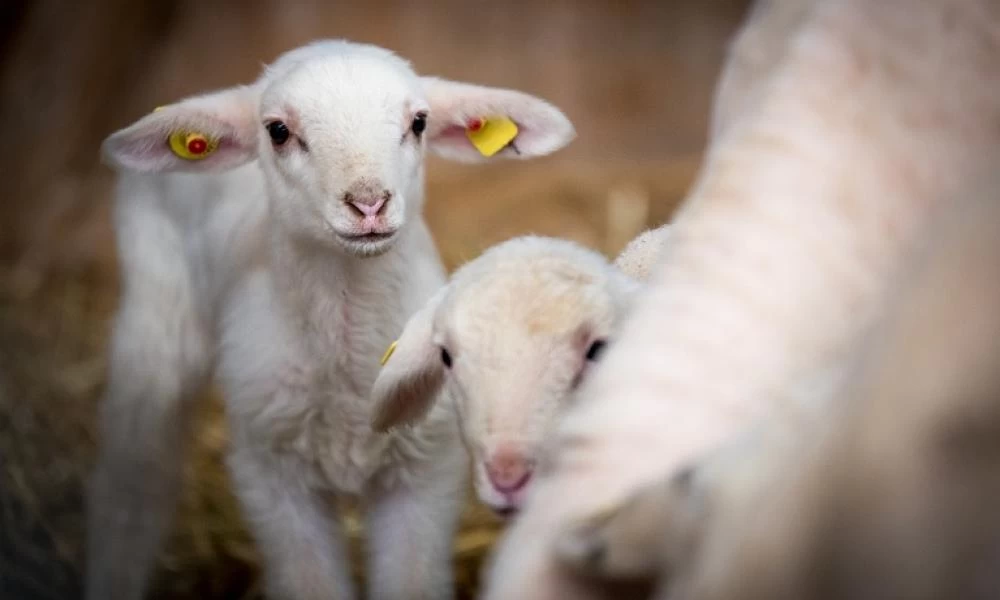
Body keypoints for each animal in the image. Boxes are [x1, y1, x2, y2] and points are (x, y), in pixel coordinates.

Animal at [87, 38, 576, 600]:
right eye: (278, 130)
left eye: (419, 123)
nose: (368, 204)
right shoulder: (271, 476)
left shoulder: (425, 472)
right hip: (156, 310)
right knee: (132, 485)